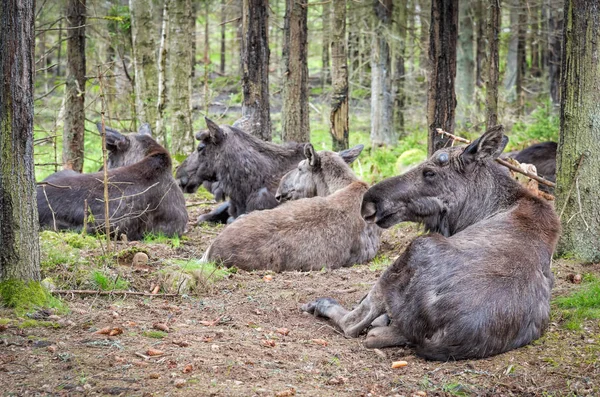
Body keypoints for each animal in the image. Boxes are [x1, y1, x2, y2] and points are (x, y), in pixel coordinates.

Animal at [304, 126, 564, 358]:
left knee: (355, 323)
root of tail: (448, 336)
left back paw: (321, 304)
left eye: (429, 172)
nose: (370, 202)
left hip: (416, 248)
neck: (482, 207)